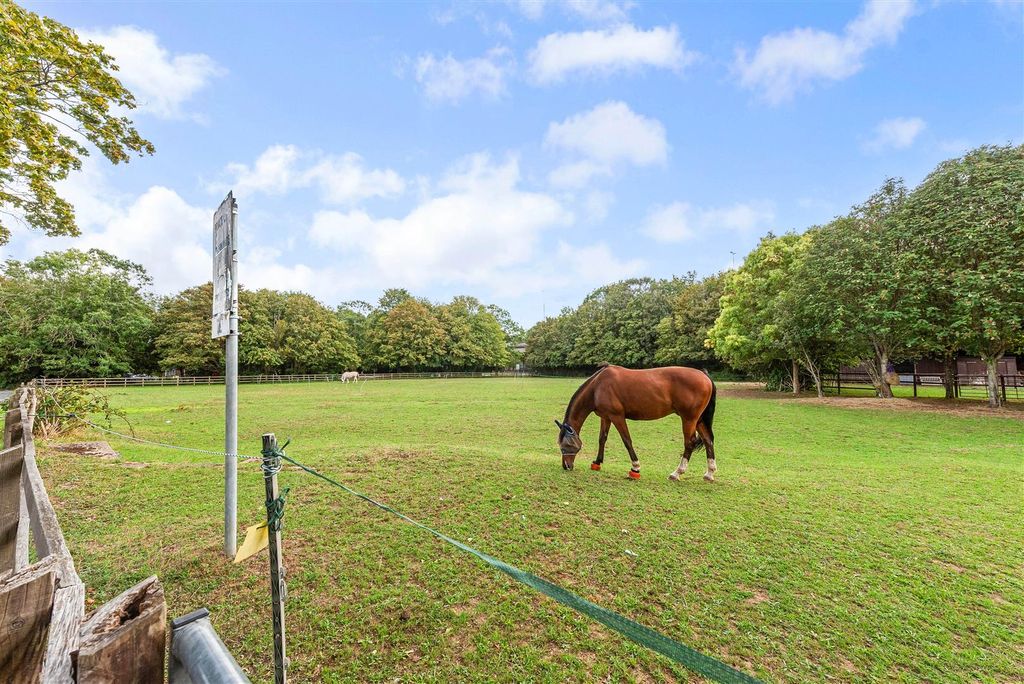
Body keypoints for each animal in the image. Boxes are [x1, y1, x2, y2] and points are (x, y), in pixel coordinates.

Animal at [554, 364, 717, 482]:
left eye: (564, 446)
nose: (566, 466)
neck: (597, 386)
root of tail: (703, 374)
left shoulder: (617, 416)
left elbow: (627, 441)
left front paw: (635, 468)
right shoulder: (606, 417)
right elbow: (602, 439)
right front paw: (597, 462)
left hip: (689, 419)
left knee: (689, 443)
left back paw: (677, 473)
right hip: (699, 420)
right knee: (708, 440)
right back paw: (709, 473)